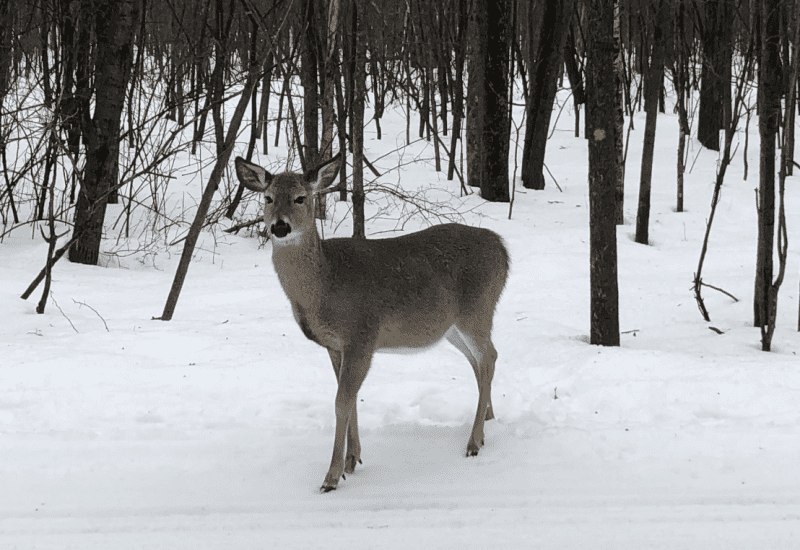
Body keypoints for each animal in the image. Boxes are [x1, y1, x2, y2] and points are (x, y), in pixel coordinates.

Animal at [234, 153, 510, 494]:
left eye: (301, 197)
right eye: (268, 198)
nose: (280, 226)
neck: (326, 283)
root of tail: (503, 249)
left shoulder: (362, 335)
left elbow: (341, 401)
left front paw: (331, 476)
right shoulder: (335, 345)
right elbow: (350, 399)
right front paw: (352, 460)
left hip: (478, 309)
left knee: (489, 357)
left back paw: (474, 441)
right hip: (453, 326)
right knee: (479, 361)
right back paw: (488, 420)